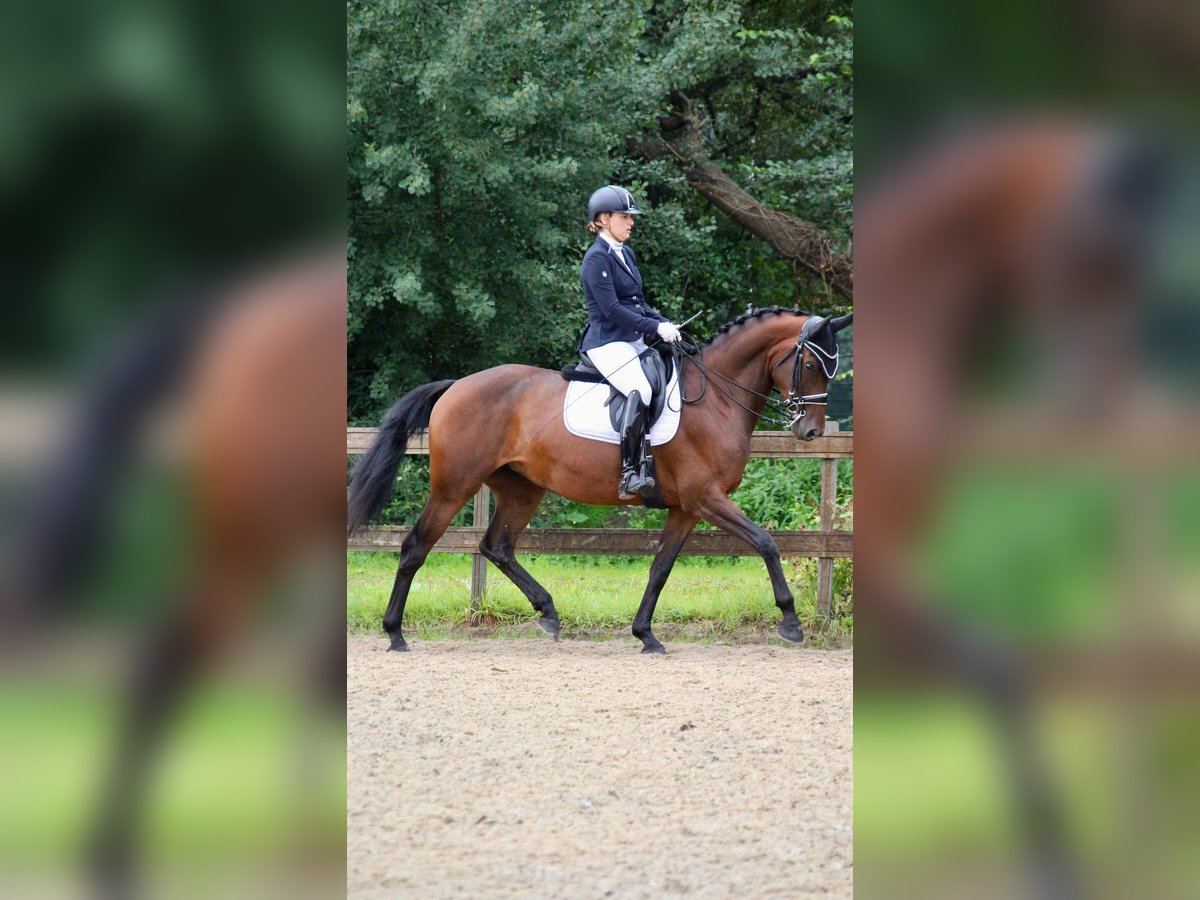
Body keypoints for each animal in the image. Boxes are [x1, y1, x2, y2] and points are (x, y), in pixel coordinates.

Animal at [348, 307, 853, 654]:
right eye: (811, 365)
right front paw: (791, 622)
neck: (714, 398)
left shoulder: (686, 508)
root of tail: (456, 385)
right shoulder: (706, 498)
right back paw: (395, 633)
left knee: (497, 546)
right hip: (455, 485)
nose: (809, 432)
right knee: (416, 546)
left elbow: (660, 568)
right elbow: (766, 543)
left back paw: (549, 614)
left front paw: (646, 634)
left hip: (522, 488)